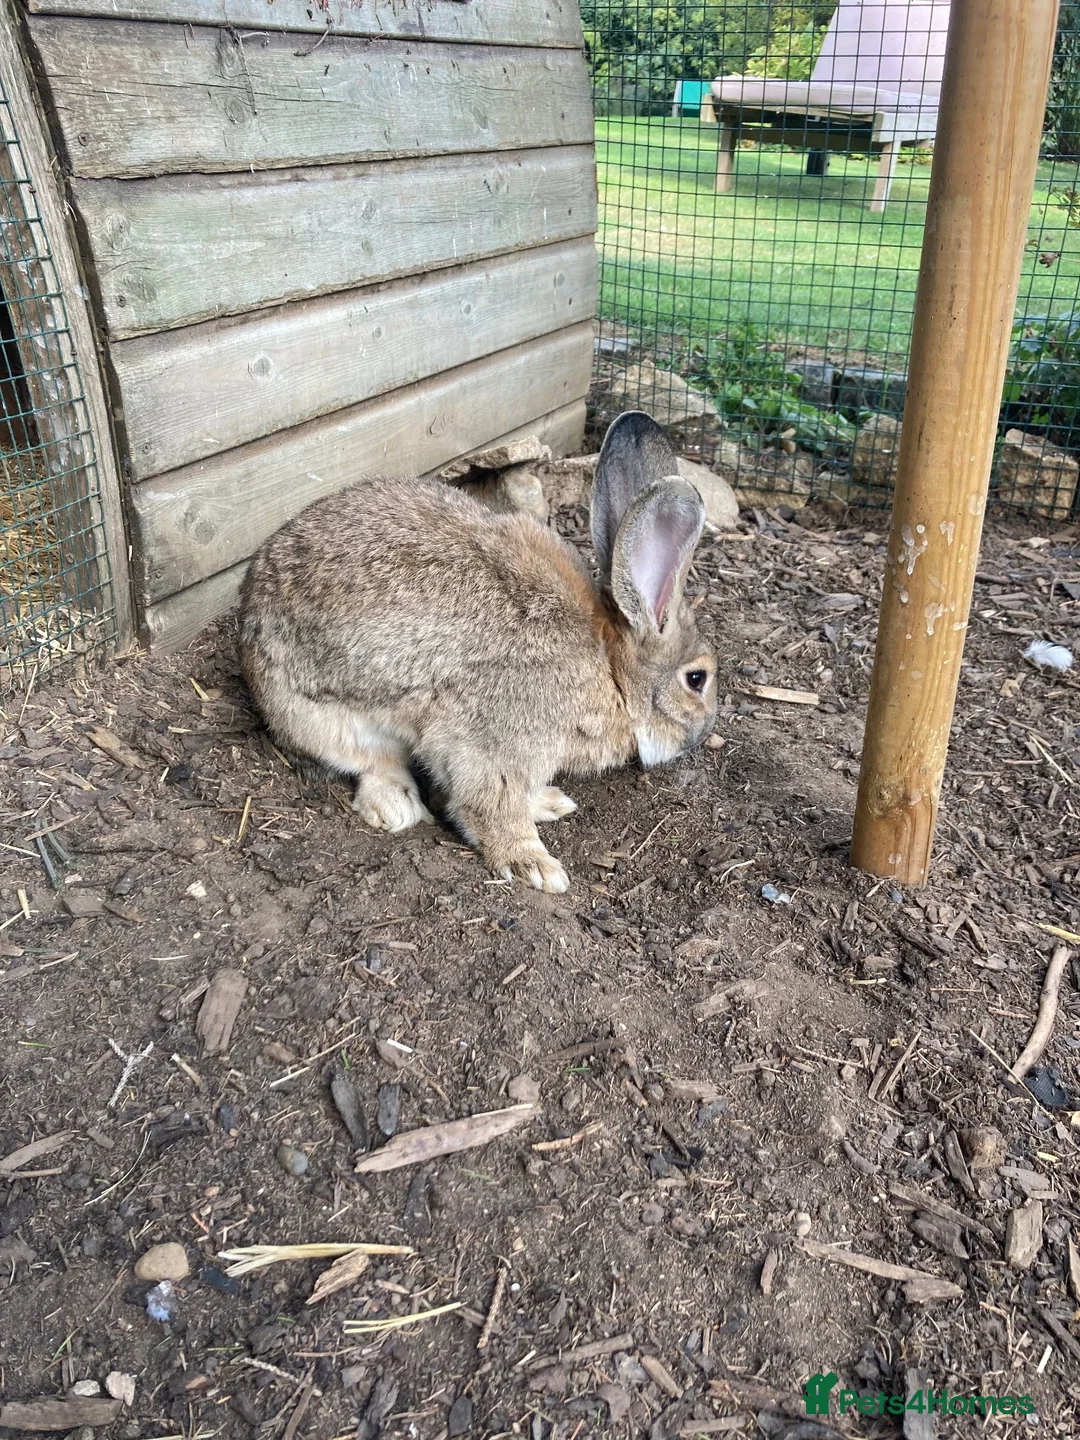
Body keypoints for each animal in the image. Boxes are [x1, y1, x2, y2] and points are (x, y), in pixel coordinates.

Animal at [238, 411, 718, 892]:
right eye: (697, 679)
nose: (702, 735)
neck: (610, 668)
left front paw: (545, 804)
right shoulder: (492, 739)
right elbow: (490, 803)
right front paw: (534, 865)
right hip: (324, 717)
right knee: (370, 762)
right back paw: (397, 805)